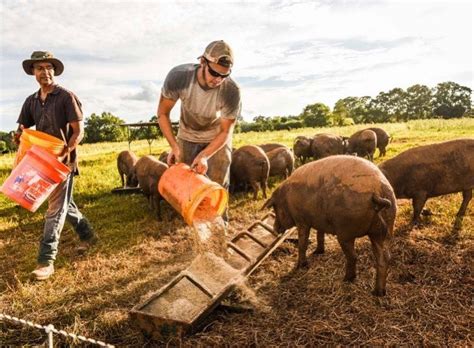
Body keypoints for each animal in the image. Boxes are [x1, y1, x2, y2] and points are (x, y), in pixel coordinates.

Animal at [262, 156, 396, 296]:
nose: (274, 228)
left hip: (346, 231)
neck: (287, 199)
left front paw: (300, 266)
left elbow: (302, 243)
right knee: (384, 258)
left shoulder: (302, 221)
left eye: (275, 208)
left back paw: (346, 279)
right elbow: (320, 235)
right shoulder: (319, 221)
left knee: (353, 257)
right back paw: (378, 292)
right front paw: (317, 252)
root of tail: (376, 192)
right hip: (384, 229)